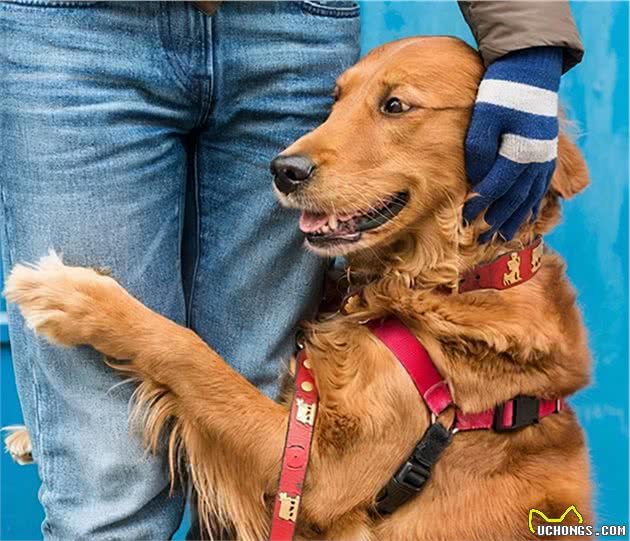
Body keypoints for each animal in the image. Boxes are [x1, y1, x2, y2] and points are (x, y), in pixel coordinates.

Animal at [3, 35, 592, 536]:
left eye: (395, 106)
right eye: (335, 99)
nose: (283, 169)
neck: (449, 282)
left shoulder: (322, 473)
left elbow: (192, 354)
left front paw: (75, 297)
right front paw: (32, 433)